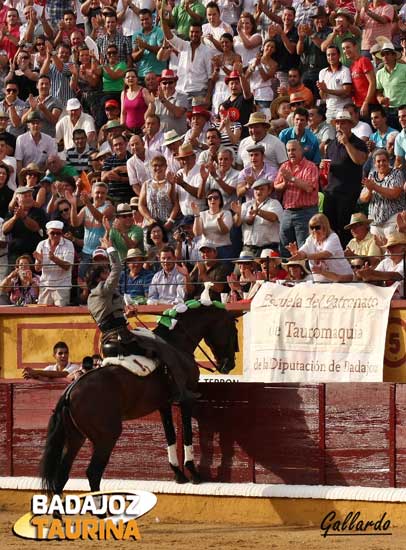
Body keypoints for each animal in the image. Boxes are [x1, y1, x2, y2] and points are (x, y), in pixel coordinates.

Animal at [39, 308, 238, 498]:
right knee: (93, 473)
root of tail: (70, 392)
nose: (229, 365)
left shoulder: (164, 405)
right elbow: (187, 434)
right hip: (106, 437)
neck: (177, 343)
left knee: (62, 475)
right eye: (233, 331)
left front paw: (178, 475)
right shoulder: (186, 401)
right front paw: (194, 474)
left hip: (75, 437)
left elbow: (171, 436)